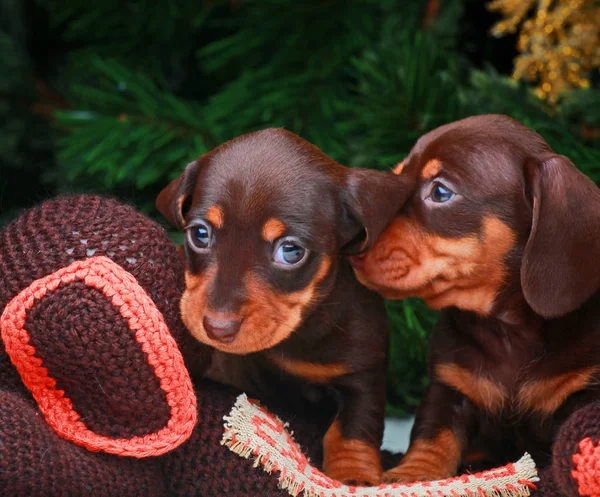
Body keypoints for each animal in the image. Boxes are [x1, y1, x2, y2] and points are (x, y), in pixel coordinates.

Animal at [157, 128, 414, 484]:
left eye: (291, 251)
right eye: (199, 234)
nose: (217, 328)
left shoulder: (363, 370)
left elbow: (354, 427)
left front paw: (353, 475)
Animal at [350, 115, 600, 480]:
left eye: (440, 191)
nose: (353, 243)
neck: (507, 329)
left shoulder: (584, 393)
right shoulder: (449, 388)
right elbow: (432, 435)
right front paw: (412, 474)